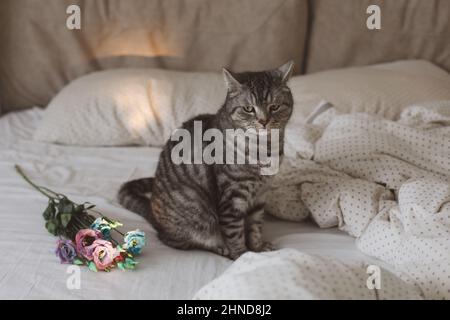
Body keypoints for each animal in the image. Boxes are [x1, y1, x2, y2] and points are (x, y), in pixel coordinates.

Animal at [118, 60, 296, 260]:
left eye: (274, 107)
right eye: (249, 109)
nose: (263, 121)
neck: (265, 148)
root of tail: (153, 214)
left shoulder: (260, 196)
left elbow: (255, 227)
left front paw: (257, 248)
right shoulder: (232, 197)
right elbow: (235, 233)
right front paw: (242, 255)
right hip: (195, 211)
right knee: (185, 241)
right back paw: (220, 248)